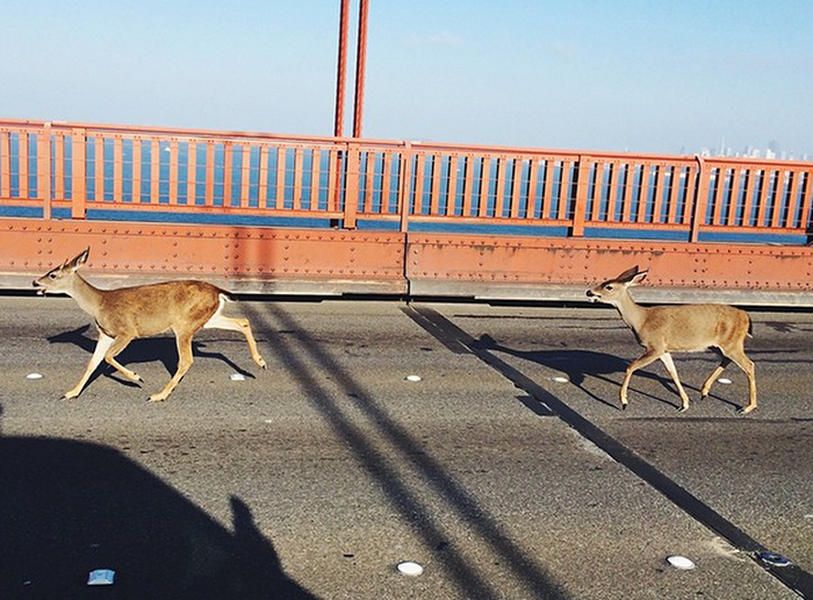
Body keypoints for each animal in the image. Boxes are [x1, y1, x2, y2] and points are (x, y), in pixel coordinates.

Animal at [33, 248, 266, 404]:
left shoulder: (127, 330)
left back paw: (158, 395)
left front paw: (136, 377)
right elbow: (92, 363)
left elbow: (108, 357)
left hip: (184, 323)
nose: (35, 282)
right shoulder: (105, 334)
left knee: (186, 360)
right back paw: (260, 362)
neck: (100, 304)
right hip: (207, 318)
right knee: (242, 322)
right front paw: (71, 392)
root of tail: (217, 290)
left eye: (53, 274)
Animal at [584, 266, 756, 412]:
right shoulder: (664, 350)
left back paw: (748, 407)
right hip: (720, 345)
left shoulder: (655, 345)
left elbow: (631, 366)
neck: (641, 320)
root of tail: (746, 316)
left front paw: (624, 402)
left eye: (609, 286)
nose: (589, 292)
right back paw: (704, 392)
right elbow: (673, 373)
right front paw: (684, 404)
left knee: (749, 365)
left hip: (732, 343)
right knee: (727, 360)